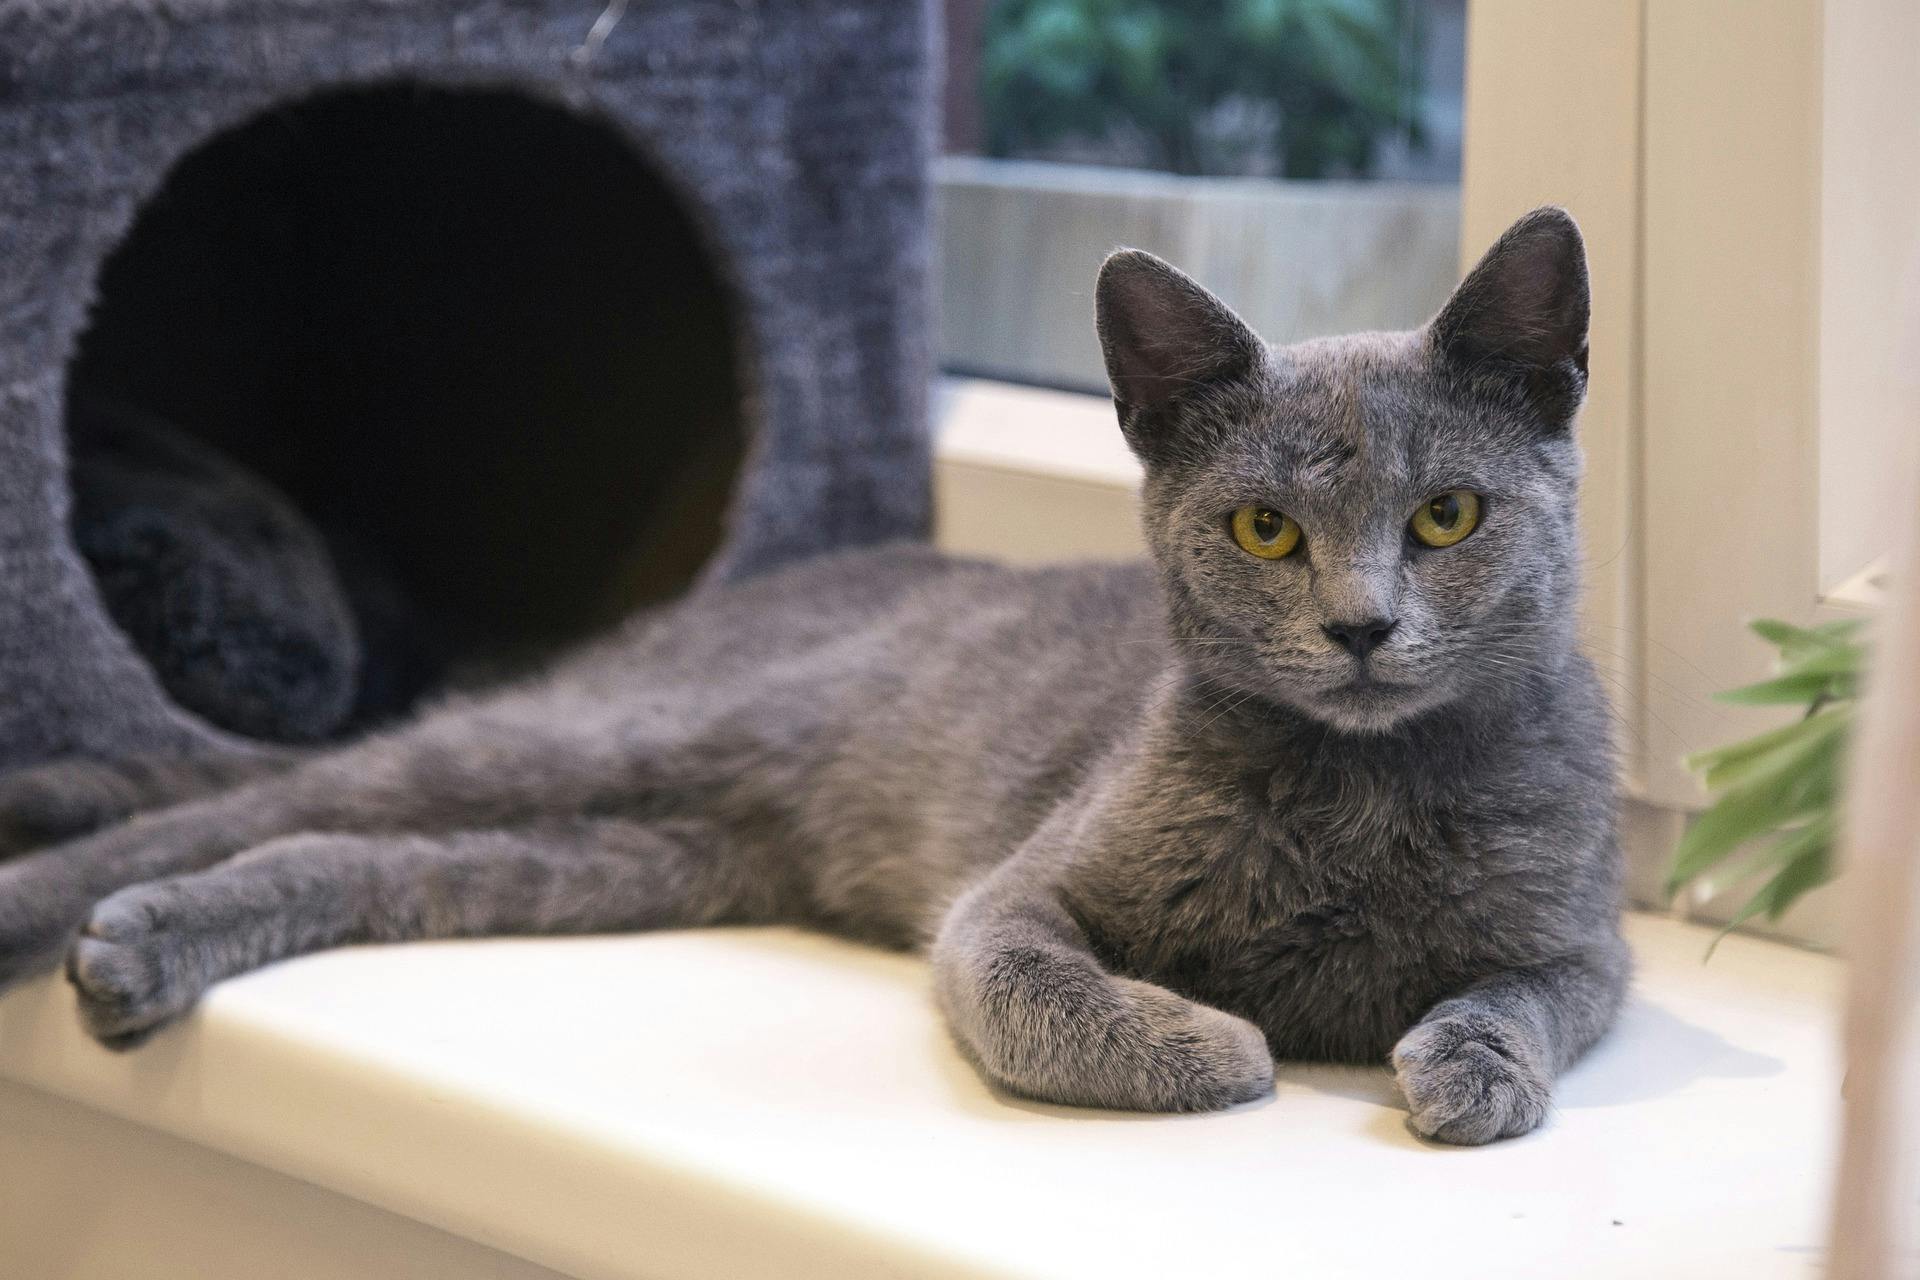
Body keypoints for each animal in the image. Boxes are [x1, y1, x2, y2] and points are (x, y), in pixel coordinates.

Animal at [0, 208, 1620, 1143]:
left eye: (1447, 516)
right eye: (1266, 528)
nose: (1360, 627)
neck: (1359, 796)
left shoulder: (1586, 939)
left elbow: (1539, 995)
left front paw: (1471, 1065)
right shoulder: (1012, 891)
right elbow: (1032, 983)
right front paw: (1219, 1042)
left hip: (641, 853)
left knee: (344, 849)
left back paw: (137, 932)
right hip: (621, 731)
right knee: (271, 793)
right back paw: (68, 905)